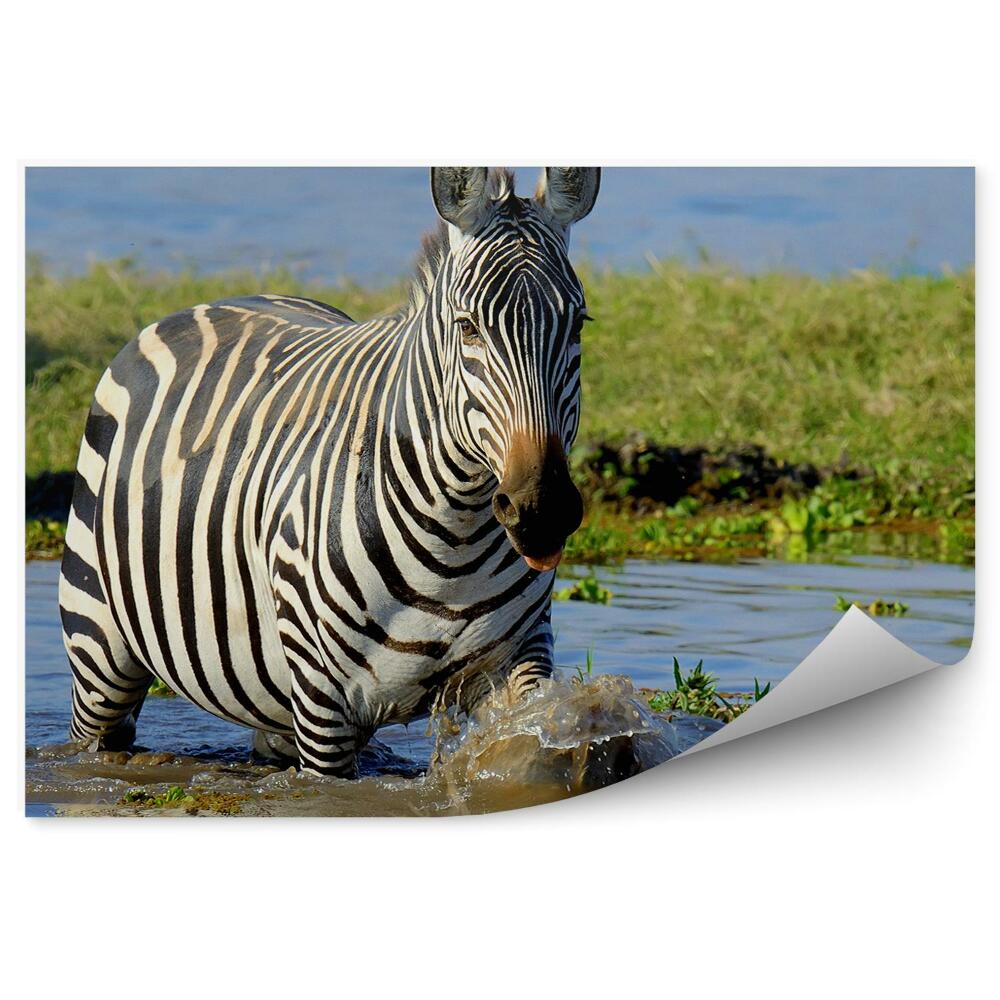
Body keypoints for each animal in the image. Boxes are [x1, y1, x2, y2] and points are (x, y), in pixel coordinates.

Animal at [58, 166, 601, 777]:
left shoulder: (520, 661)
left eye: (578, 326)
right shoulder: (322, 702)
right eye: (468, 329)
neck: (454, 541)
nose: (540, 509)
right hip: (99, 647)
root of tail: (204, 304)